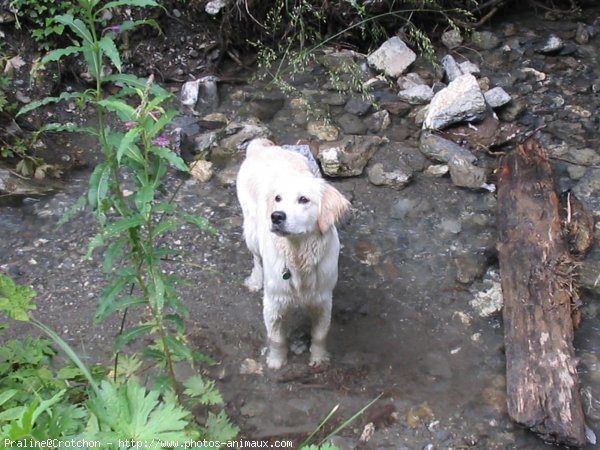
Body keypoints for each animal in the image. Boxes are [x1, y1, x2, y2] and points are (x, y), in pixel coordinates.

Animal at [237, 138, 352, 370]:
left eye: (304, 199)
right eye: (278, 199)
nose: (276, 216)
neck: (299, 254)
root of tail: (261, 147)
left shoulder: (323, 300)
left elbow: (320, 335)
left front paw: (319, 358)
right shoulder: (274, 302)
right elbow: (276, 338)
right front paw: (276, 361)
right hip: (252, 231)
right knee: (256, 258)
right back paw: (255, 280)